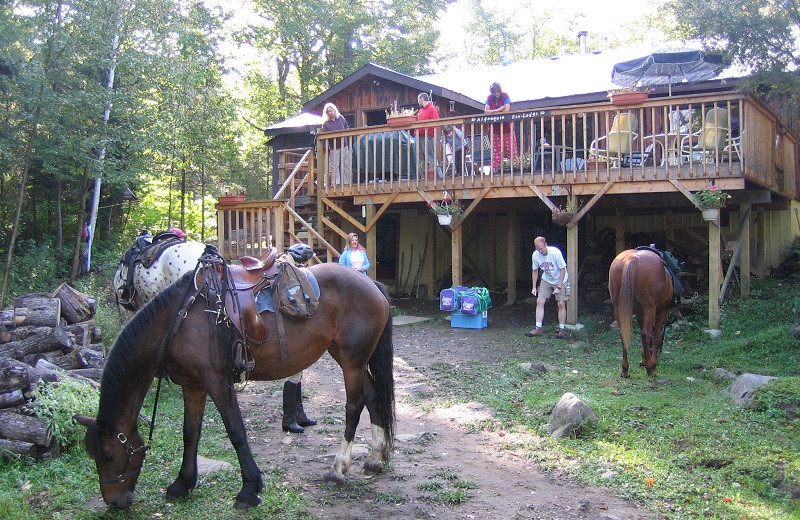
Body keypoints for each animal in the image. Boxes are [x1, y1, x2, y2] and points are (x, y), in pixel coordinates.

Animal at [608, 249, 672, 378]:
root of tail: (631, 258)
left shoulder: (639, 313)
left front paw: (643, 360)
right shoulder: (664, 311)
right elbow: (656, 338)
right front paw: (652, 364)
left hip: (618, 308)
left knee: (623, 334)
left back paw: (625, 369)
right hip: (649, 308)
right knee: (645, 334)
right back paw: (650, 369)